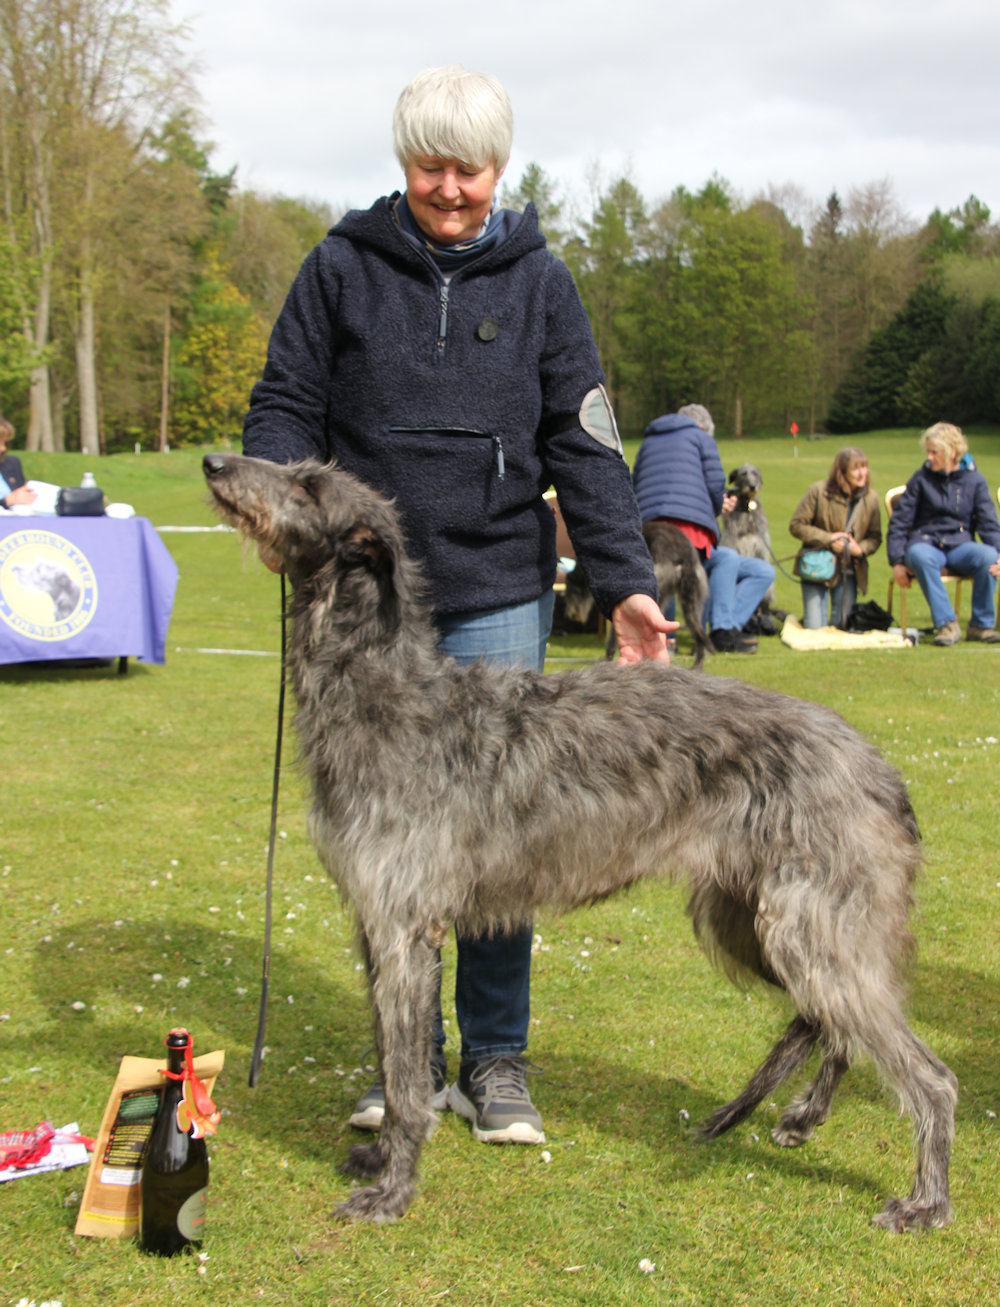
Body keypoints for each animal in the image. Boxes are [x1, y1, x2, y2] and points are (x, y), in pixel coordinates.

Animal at [564, 517, 716, 669]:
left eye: (571, 590)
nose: (571, 615)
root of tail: (686, 556)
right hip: (691, 598)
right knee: (698, 631)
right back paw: (697, 666)